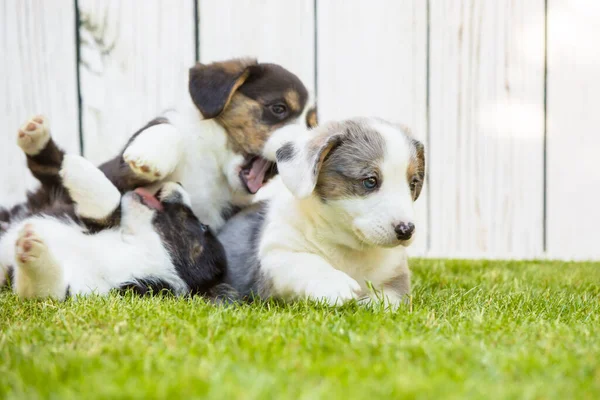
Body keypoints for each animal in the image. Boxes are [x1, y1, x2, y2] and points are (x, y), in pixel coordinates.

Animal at [0, 59, 316, 233]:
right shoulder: (118, 173)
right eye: (278, 108)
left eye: (312, 125)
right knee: (52, 168)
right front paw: (149, 157)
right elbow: (168, 129)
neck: (213, 166)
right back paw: (35, 135)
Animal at [0, 153, 229, 300]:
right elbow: (111, 203)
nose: (179, 184)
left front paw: (32, 249)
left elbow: (47, 289)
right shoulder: (72, 212)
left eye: (203, 227)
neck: (130, 248)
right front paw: (78, 166)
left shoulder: (84, 293)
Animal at [218, 117, 424, 308]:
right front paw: (336, 284)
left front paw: (371, 303)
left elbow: (391, 298)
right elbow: (307, 262)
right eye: (370, 181)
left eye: (412, 184)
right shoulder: (276, 253)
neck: (348, 246)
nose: (406, 230)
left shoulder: (397, 274)